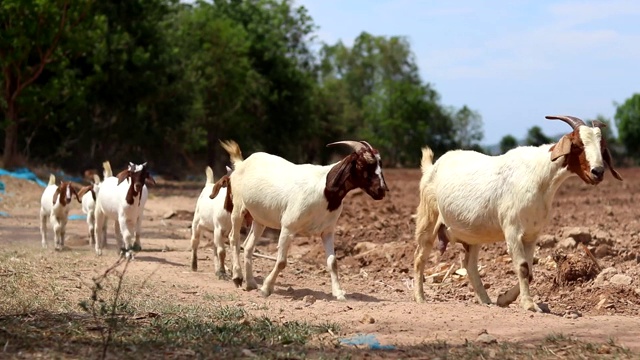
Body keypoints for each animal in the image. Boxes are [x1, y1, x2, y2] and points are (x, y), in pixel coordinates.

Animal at [220, 139, 390, 300]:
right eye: (362, 163)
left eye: (380, 163)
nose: (382, 190)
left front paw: (339, 293)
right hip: (238, 208)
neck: (325, 189)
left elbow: (332, 262)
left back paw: (250, 283)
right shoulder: (288, 227)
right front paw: (266, 288)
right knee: (234, 238)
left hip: (259, 219)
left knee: (248, 245)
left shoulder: (328, 231)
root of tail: (241, 164)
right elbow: (281, 261)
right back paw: (237, 277)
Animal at [412, 115, 624, 312]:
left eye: (601, 146)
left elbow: (529, 270)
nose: (598, 172)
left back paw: (486, 300)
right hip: (428, 219)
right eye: (578, 144)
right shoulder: (512, 230)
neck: (541, 177)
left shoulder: (531, 234)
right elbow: (522, 267)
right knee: (419, 257)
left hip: (473, 235)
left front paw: (504, 299)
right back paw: (420, 298)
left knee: (469, 264)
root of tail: (432, 167)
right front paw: (529, 305)